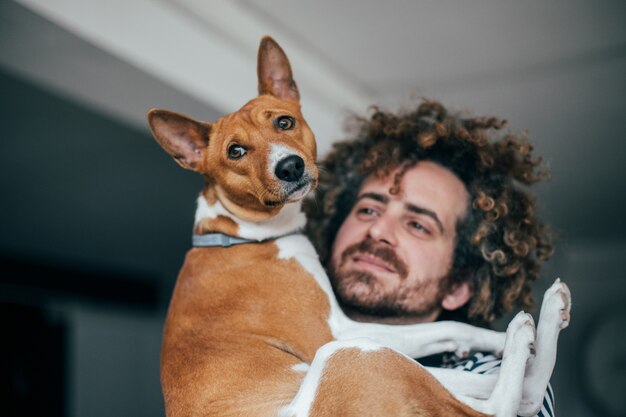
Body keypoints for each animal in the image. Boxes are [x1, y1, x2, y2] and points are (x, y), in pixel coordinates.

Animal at [149, 36, 568, 416]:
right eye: (235, 151)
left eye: (285, 122)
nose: (290, 167)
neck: (235, 234)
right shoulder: (338, 329)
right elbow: (450, 334)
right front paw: (499, 339)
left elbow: (451, 331)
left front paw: (489, 341)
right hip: (345, 351)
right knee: (510, 401)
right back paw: (533, 328)